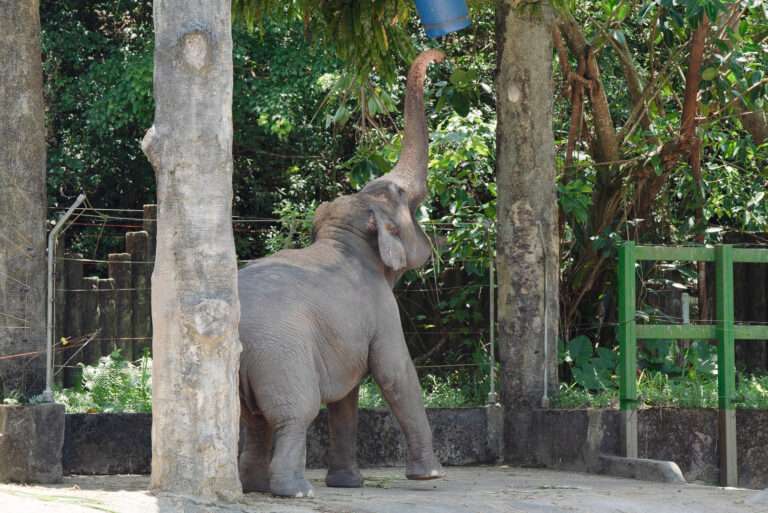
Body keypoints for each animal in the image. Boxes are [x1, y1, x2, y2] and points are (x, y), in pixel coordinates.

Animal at [238, 49, 446, 498]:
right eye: (404, 197)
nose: (440, 53)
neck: (345, 236)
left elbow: (348, 394)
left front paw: (348, 483)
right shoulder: (381, 310)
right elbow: (395, 372)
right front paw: (431, 476)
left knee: (251, 418)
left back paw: (254, 486)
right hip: (283, 355)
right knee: (293, 414)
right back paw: (296, 491)